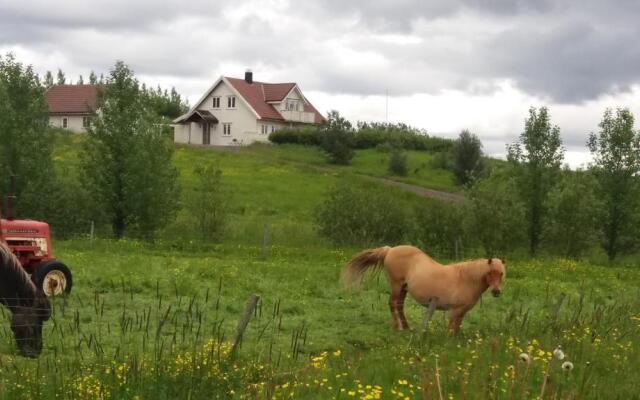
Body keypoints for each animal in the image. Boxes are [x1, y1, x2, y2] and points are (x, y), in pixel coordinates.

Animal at [342, 245, 502, 332]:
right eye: (490, 273)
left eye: (501, 273)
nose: (496, 292)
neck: (465, 279)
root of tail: (390, 250)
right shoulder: (454, 311)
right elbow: (452, 330)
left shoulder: (461, 312)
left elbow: (457, 328)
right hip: (396, 285)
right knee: (393, 304)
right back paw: (397, 327)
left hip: (404, 288)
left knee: (399, 305)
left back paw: (406, 327)